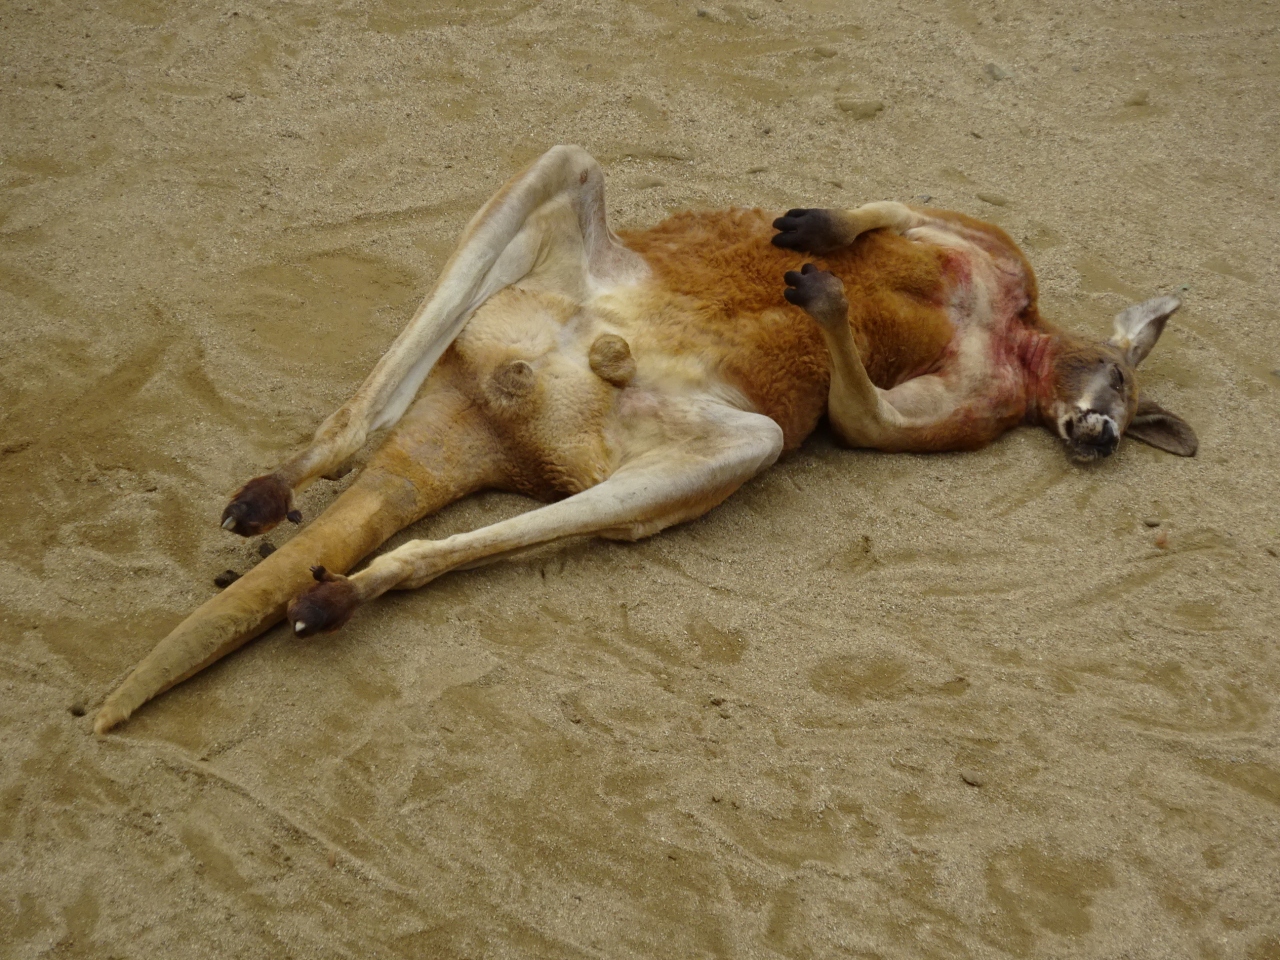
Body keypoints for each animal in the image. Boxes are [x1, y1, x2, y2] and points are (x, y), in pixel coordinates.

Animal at [95, 146, 1196, 734]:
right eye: (1121, 383)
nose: (1101, 440)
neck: (1019, 339)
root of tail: (491, 419)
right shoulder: (992, 251)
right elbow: (896, 208)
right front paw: (816, 235)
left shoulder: (965, 404)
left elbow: (860, 417)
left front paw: (824, 289)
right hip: (545, 290)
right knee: (564, 168)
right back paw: (278, 492)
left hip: (696, 433)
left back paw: (330, 580)